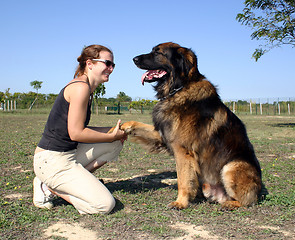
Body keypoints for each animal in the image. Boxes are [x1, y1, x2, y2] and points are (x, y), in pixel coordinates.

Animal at [119, 42, 262, 209]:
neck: (178, 88)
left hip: (231, 166)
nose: (134, 59)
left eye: (158, 52)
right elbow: (138, 125)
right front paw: (124, 126)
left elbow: (183, 179)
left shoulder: (183, 150)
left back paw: (229, 204)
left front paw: (181, 202)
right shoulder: (163, 136)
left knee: (246, 201)